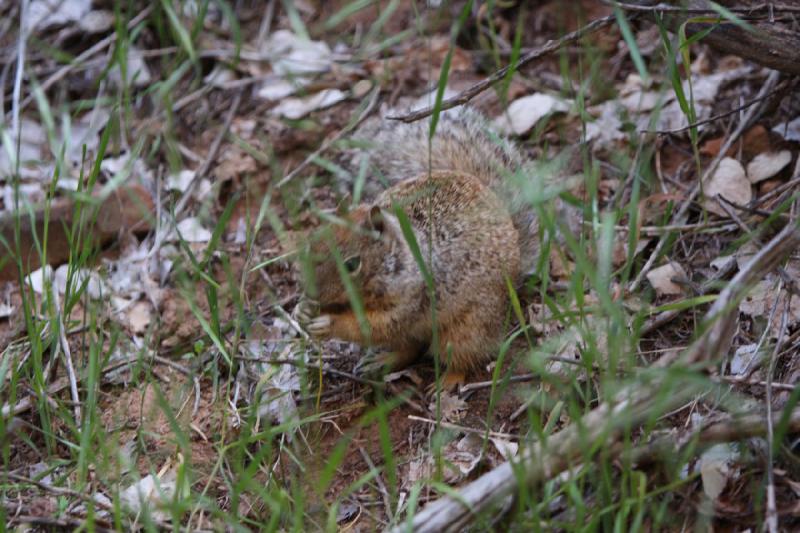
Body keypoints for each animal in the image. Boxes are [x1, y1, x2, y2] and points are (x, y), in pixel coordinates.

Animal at [296, 106, 548, 388]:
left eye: (352, 264)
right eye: (314, 242)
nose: (312, 292)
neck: (398, 258)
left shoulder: (412, 297)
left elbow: (375, 325)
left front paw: (329, 323)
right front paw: (303, 310)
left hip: (469, 326)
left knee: (460, 355)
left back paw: (447, 381)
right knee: (410, 347)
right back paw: (383, 361)